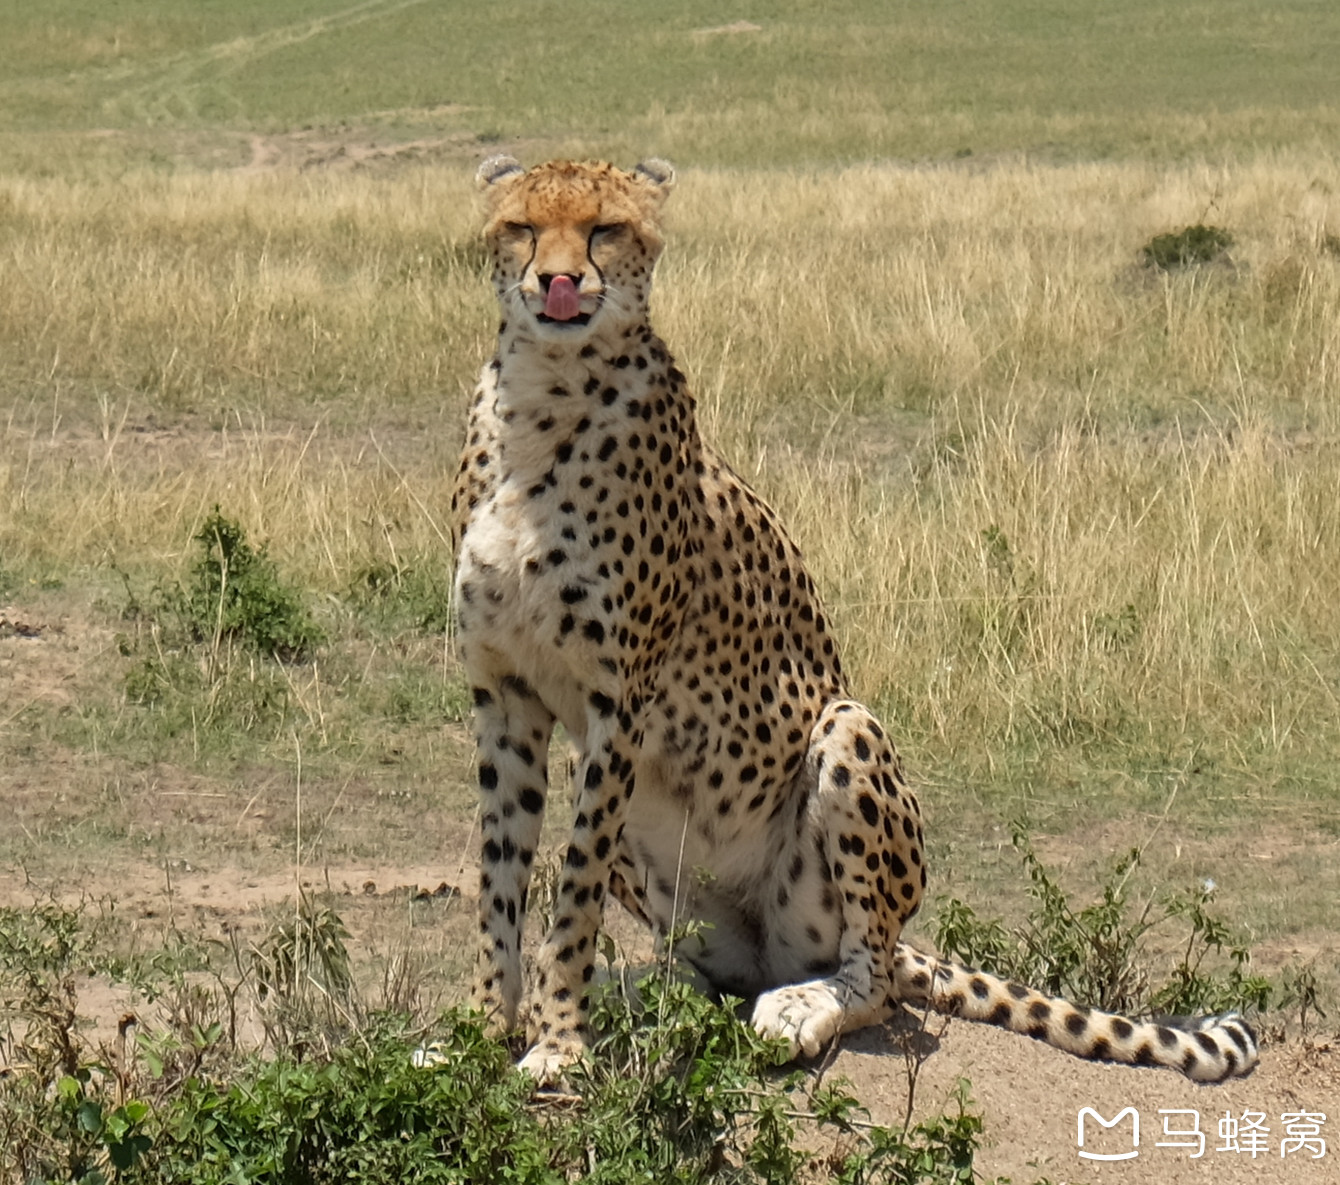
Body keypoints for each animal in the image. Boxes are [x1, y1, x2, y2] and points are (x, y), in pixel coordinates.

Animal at [450, 154, 1254, 1083]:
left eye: (605, 228)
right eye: (521, 227)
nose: (559, 282)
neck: (541, 398)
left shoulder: (619, 705)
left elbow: (572, 890)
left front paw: (556, 1046)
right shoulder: (506, 696)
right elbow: (499, 877)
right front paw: (481, 1031)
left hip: (845, 733)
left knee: (869, 980)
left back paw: (800, 1005)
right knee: (707, 975)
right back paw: (650, 989)